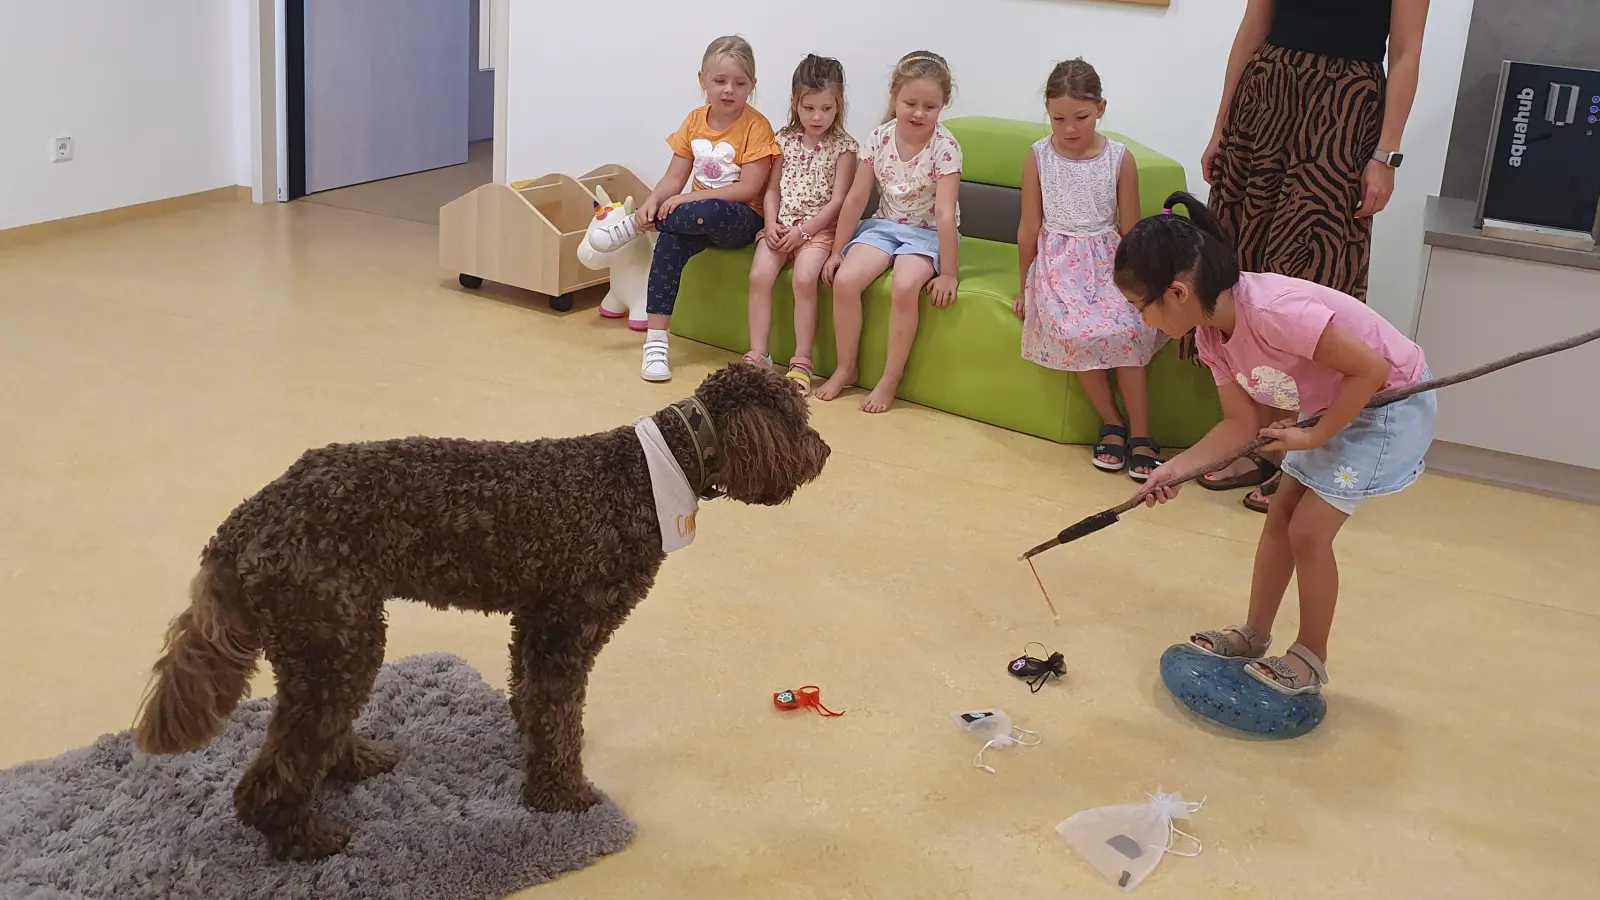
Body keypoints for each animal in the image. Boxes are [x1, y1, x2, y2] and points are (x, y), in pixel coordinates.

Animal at [132, 360, 832, 858]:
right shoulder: (567, 628)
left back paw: (354, 765)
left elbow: (534, 698)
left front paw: (528, 736)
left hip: (328, 643)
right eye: (798, 421)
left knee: (313, 736)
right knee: (274, 772)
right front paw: (563, 794)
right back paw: (303, 840)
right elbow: (560, 716)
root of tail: (247, 520)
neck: (646, 473)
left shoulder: (537, 620)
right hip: (336, 640)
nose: (825, 453)